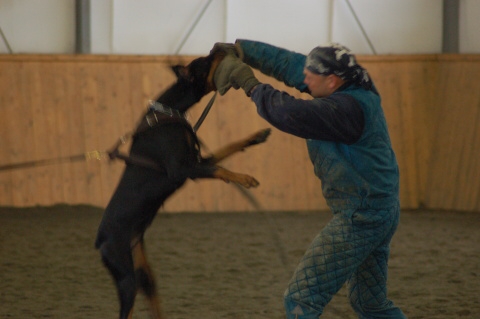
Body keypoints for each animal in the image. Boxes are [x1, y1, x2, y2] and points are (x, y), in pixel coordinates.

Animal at [94, 50, 270, 319]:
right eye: (207, 60)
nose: (219, 48)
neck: (171, 110)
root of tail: (100, 240)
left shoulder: (198, 160)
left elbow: (227, 150)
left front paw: (257, 137)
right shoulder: (184, 169)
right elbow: (219, 169)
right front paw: (245, 179)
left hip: (142, 269)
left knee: (153, 299)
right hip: (125, 276)